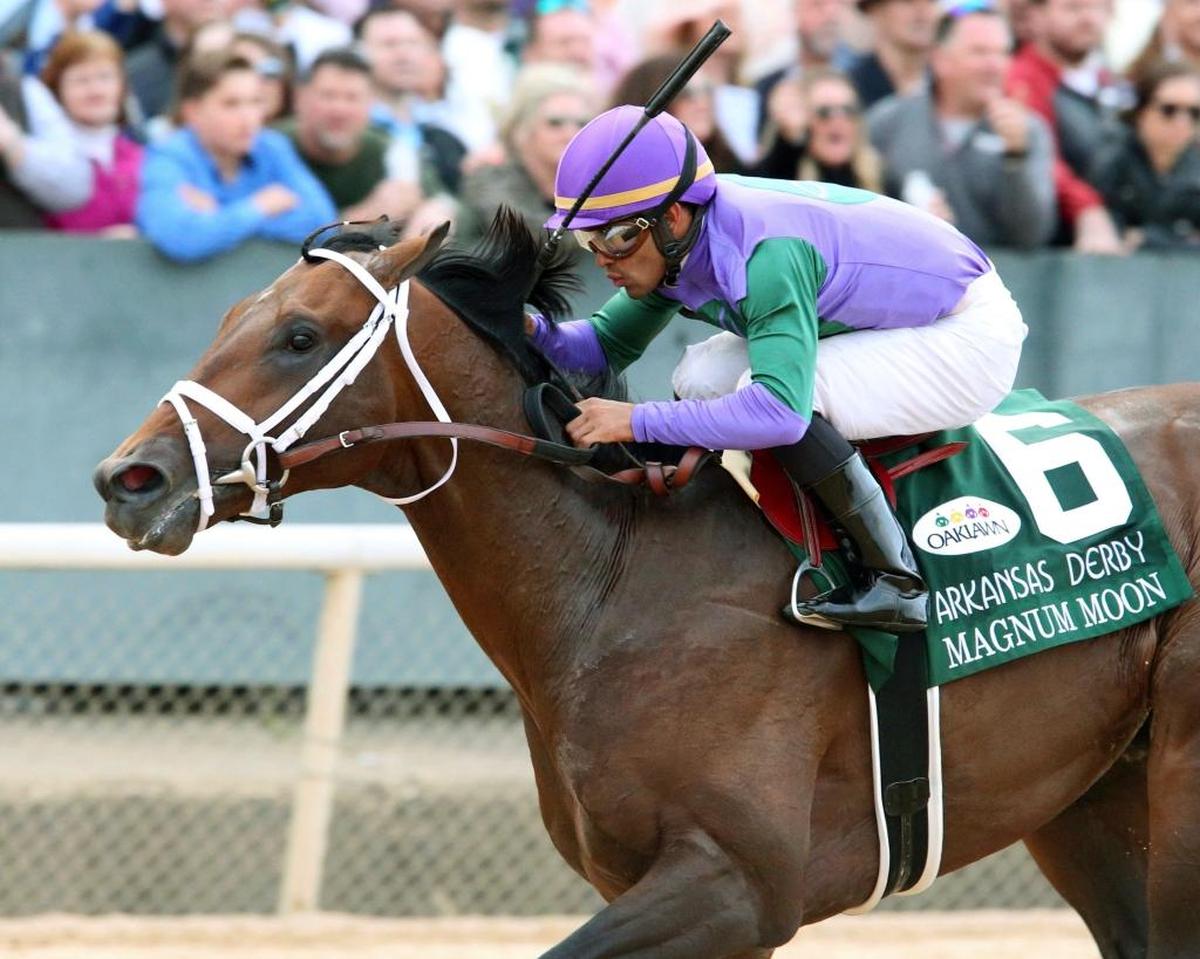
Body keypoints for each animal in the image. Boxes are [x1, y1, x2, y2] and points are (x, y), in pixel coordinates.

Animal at [94, 212, 1200, 959]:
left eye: (299, 338)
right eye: (233, 316)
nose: (127, 479)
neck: (618, 585)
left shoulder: (741, 881)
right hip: (1088, 790)